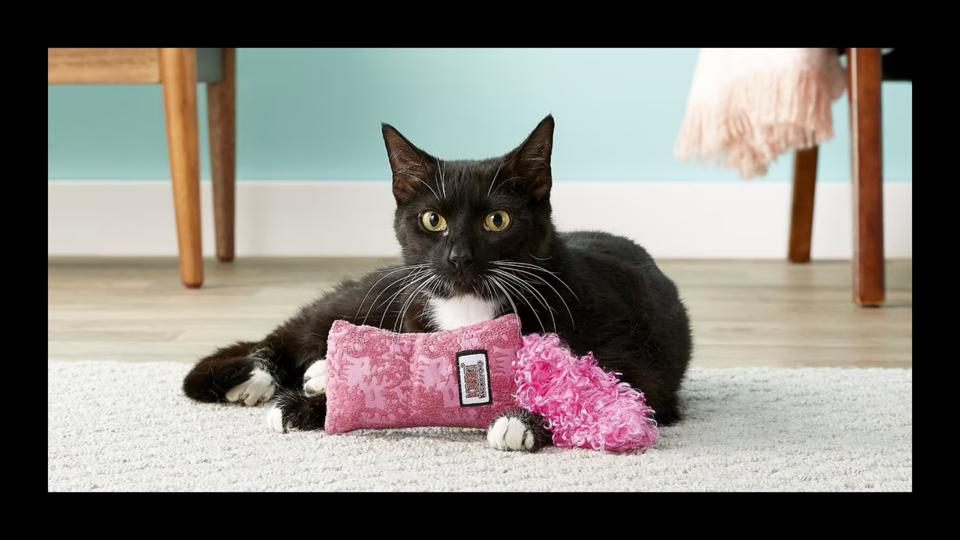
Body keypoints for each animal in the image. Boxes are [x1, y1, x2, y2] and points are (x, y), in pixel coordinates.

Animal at [182, 115, 688, 452]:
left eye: (497, 220)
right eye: (433, 220)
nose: (458, 255)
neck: (470, 306)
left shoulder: (635, 355)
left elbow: (610, 386)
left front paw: (520, 422)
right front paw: (305, 407)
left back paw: (313, 374)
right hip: (383, 291)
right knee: (296, 332)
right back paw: (261, 376)